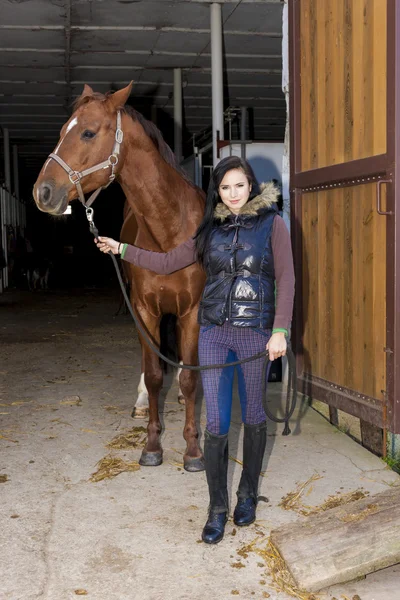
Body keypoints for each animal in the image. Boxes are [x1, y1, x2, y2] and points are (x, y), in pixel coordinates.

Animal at [33, 81, 206, 474]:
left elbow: (190, 378)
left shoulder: (192, 311)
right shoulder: (144, 308)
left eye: (87, 132)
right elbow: (155, 374)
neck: (170, 231)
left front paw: (193, 451)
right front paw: (152, 445)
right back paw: (141, 401)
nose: (42, 192)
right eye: (62, 130)